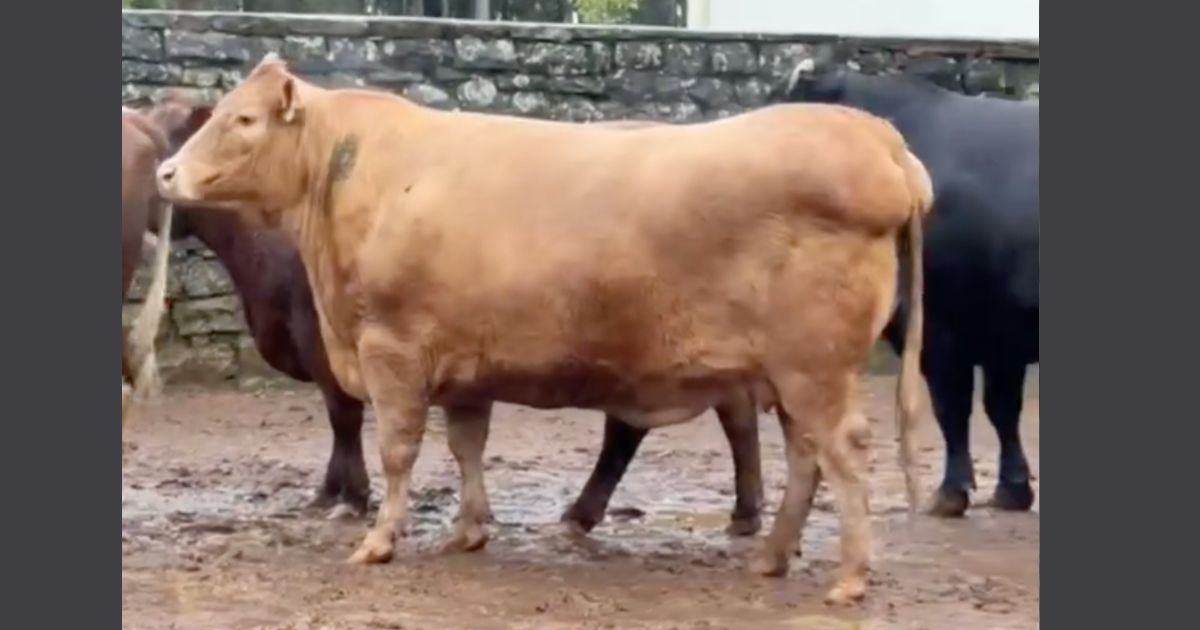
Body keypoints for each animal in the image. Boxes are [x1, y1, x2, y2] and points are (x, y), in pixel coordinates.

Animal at [156, 54, 931, 605]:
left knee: (843, 451)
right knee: (804, 456)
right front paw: (468, 530)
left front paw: (379, 539)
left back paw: (850, 576)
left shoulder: (391, 350)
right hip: (788, 373)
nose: (164, 172)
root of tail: (877, 138)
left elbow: (398, 451)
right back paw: (770, 556)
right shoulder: (462, 363)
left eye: (244, 120)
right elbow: (467, 446)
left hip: (815, 367)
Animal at [784, 62, 1039, 517]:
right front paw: (1012, 490)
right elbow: (1001, 408)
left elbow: (952, 405)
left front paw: (950, 493)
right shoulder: (998, 332)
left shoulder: (940, 324)